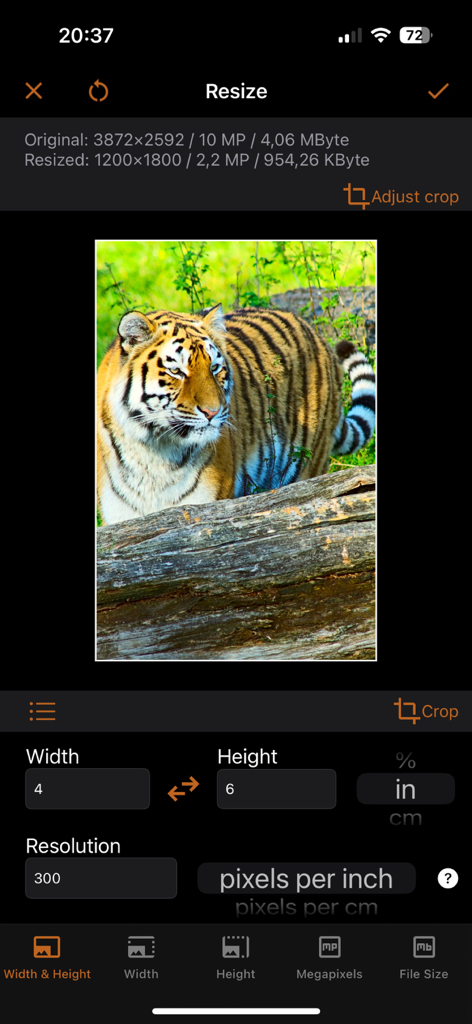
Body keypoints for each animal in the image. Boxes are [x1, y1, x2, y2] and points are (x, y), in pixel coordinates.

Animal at [97, 303, 375, 525]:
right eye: (176, 371)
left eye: (214, 367)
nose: (213, 412)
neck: (155, 451)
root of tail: (315, 333)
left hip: (308, 468)